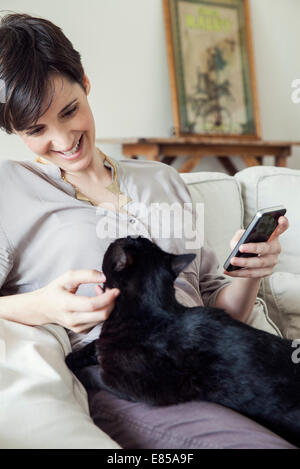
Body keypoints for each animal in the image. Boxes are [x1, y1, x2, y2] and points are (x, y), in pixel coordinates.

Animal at [66, 236, 300, 444]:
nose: (126, 234)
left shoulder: (130, 383)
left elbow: (95, 373)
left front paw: (77, 372)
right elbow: (94, 346)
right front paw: (72, 357)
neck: (154, 311)